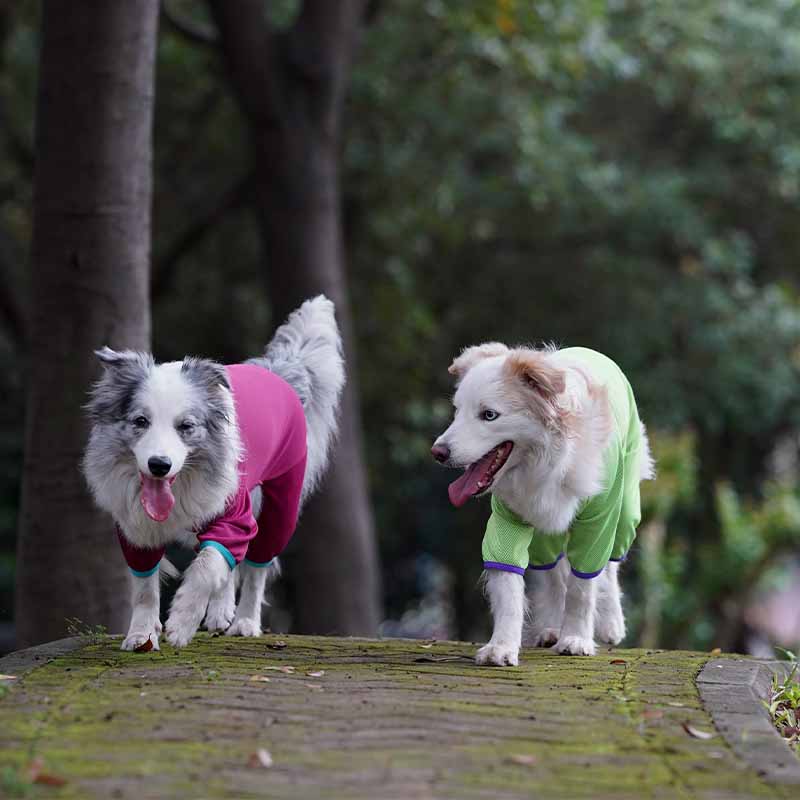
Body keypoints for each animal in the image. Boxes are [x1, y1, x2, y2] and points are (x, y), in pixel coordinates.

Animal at [83, 294, 344, 648]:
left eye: (186, 426)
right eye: (140, 421)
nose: (159, 465)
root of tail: (277, 372)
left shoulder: (236, 512)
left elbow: (209, 563)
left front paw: (181, 623)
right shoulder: (135, 529)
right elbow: (145, 586)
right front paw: (141, 635)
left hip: (282, 497)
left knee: (256, 562)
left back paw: (244, 621)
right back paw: (220, 613)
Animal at [434, 344, 652, 664]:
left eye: (489, 415)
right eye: (457, 411)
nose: (438, 452)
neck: (543, 464)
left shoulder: (598, 521)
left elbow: (582, 587)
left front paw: (576, 639)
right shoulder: (508, 521)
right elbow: (509, 587)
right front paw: (501, 646)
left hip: (625, 510)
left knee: (611, 565)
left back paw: (611, 624)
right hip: (543, 534)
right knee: (553, 575)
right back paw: (551, 629)